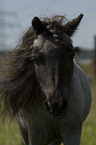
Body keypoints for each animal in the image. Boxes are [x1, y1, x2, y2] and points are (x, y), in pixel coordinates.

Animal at [0, 13, 91, 145]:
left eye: (71, 55)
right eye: (35, 58)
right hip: (23, 131)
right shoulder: (34, 136)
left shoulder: (72, 132)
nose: (56, 105)